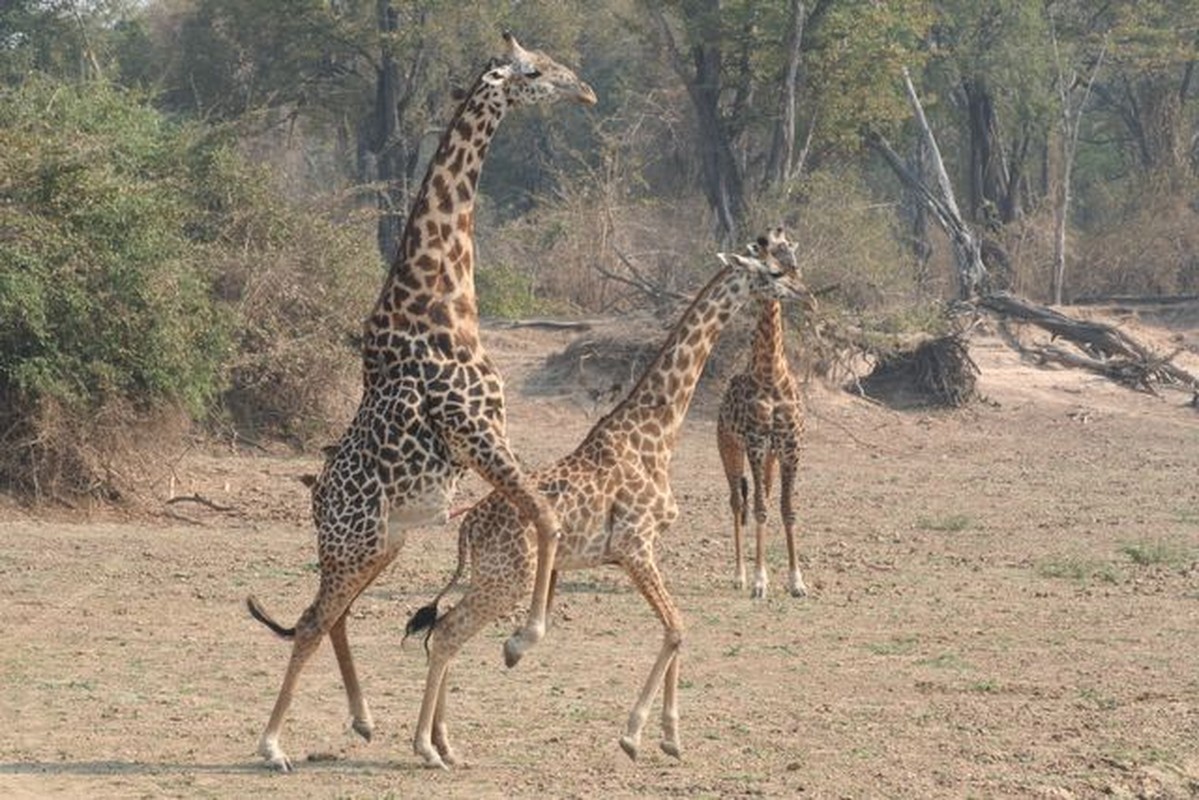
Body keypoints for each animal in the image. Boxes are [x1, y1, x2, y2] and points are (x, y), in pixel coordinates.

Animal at [244, 34, 599, 772]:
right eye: (536, 71)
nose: (585, 90)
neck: (444, 294)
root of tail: (314, 497)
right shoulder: (478, 428)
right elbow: (546, 516)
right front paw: (522, 639)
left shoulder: (486, 436)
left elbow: (542, 517)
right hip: (358, 541)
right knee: (313, 620)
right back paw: (271, 745)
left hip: (384, 542)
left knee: (333, 614)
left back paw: (363, 720)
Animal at [709, 227, 815, 597]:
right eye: (773, 268)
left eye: (794, 261)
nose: (809, 298)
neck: (771, 375)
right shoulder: (755, 443)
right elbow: (758, 508)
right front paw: (759, 580)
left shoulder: (791, 447)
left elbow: (786, 509)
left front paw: (797, 581)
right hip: (729, 446)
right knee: (738, 502)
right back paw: (740, 575)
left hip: (770, 456)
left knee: (763, 496)